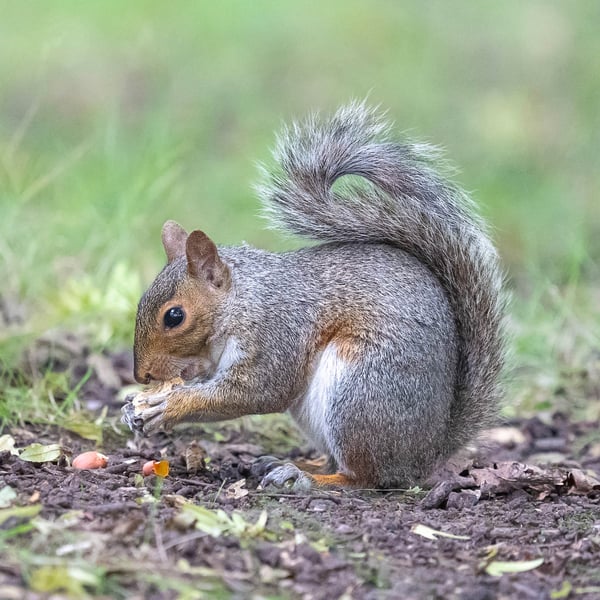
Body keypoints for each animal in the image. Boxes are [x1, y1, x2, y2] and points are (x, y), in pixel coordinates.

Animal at [123, 101, 506, 490]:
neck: (241, 303)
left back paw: (309, 478)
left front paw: (168, 406)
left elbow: (258, 391)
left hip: (360, 393)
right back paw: (297, 464)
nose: (143, 376)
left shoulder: (277, 332)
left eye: (175, 316)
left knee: (364, 477)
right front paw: (132, 407)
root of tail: (427, 454)